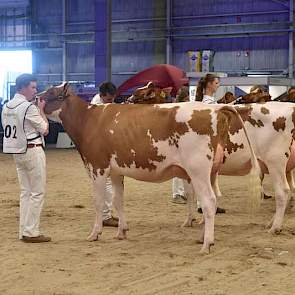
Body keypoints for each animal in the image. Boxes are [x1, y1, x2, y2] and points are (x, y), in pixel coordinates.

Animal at [37, 82, 262, 254]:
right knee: (211, 202)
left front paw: (94, 233)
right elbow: (118, 200)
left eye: (51, 93)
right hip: (208, 171)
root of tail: (214, 109)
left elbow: (99, 201)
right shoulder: (117, 171)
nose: (36, 98)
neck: (88, 120)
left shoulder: (97, 167)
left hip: (198, 169)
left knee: (208, 201)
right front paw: (121, 231)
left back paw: (206, 244)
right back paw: (203, 237)